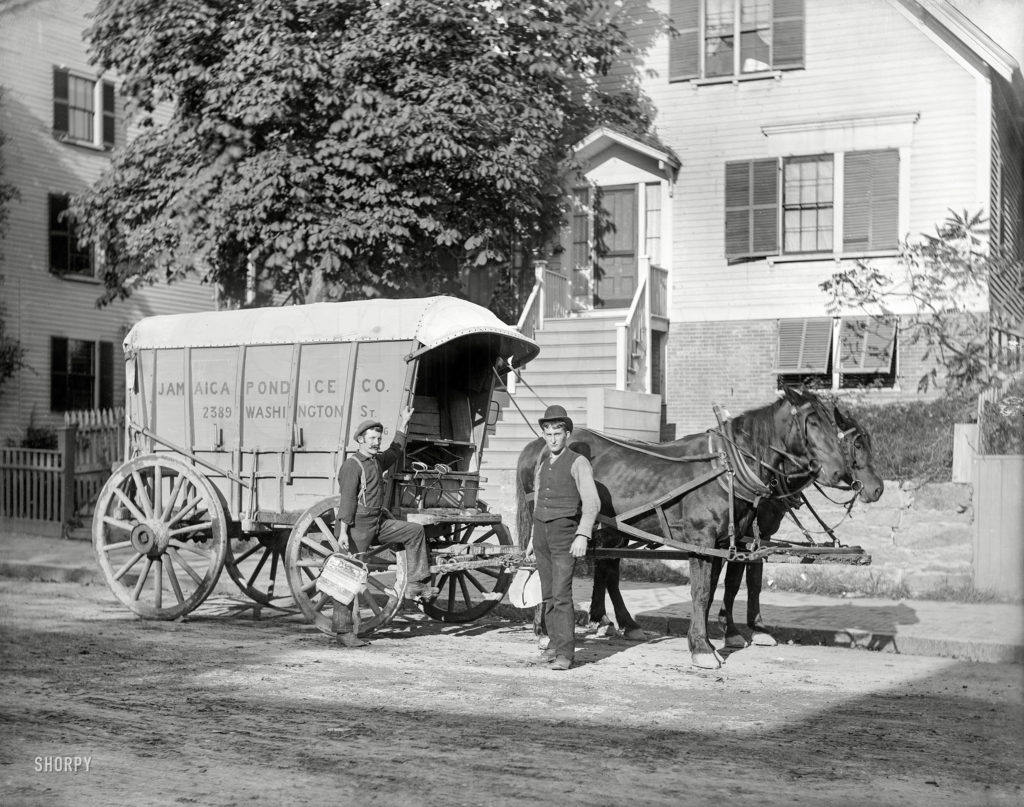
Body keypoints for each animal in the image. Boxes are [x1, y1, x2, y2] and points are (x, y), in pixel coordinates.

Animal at [520, 387, 847, 663]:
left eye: (834, 424)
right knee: (543, 569)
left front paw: (708, 640)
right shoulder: (702, 542)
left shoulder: (723, 544)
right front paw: (702, 647)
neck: (727, 467)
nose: (840, 472)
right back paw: (544, 632)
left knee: (603, 569)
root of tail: (539, 446)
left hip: (608, 530)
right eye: (812, 423)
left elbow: (711, 592)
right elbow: (701, 592)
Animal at [716, 401, 884, 651]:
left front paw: (758, 628)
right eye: (858, 444)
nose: (878, 489)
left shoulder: (761, 537)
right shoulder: (741, 538)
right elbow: (732, 582)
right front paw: (731, 631)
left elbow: (754, 581)